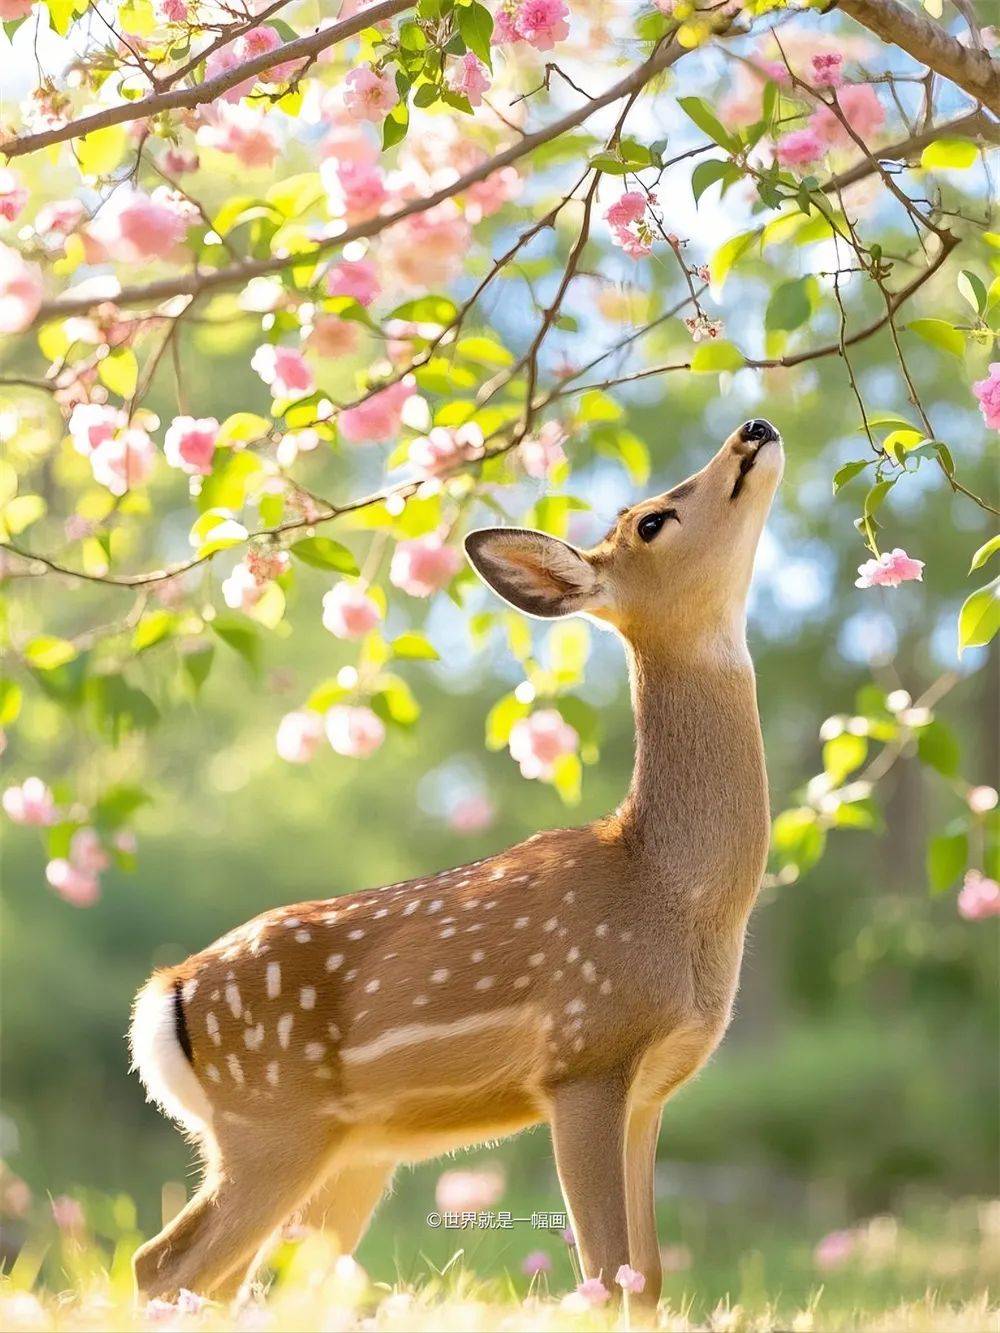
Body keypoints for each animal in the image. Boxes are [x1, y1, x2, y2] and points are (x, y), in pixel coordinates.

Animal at [129, 417, 783, 1311]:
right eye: (652, 519)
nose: (752, 430)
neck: (675, 894)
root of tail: (166, 992)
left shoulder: (652, 1087)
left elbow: (644, 1278)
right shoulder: (584, 1052)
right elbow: (603, 1271)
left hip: (348, 1148)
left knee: (245, 1283)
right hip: (271, 1121)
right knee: (164, 1263)